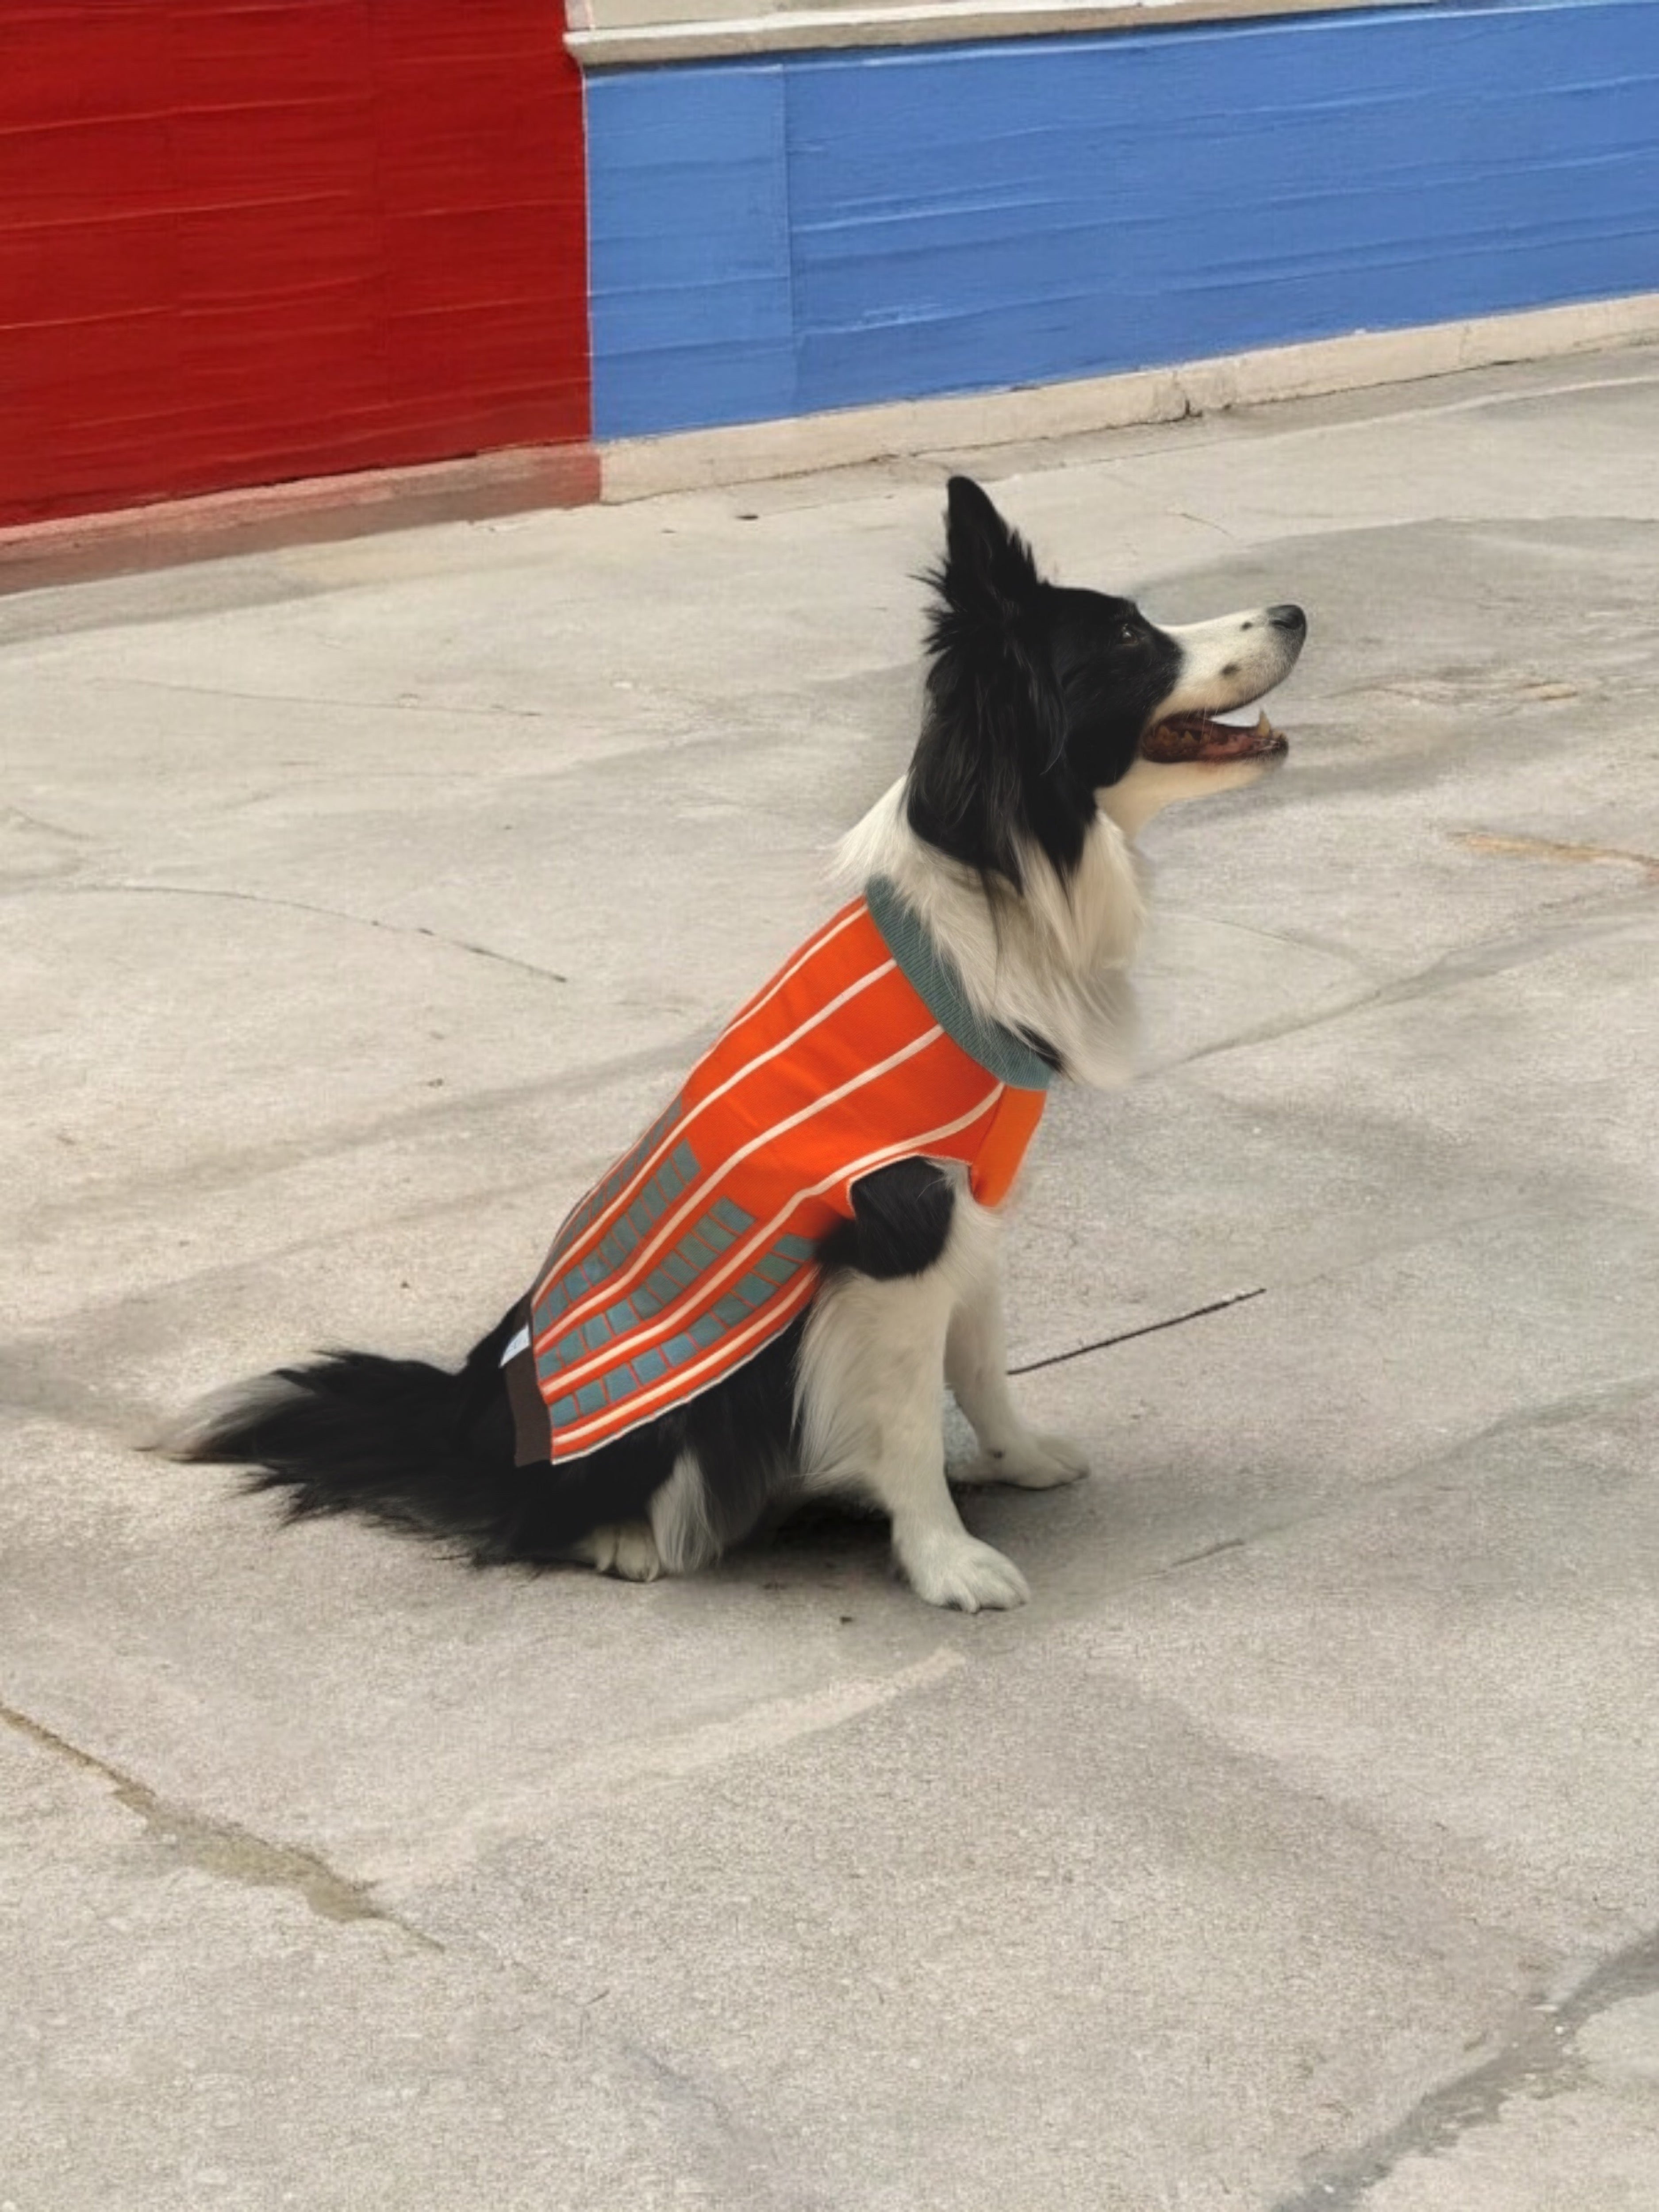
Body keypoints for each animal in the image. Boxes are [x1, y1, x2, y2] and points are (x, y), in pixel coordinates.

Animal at [173, 480, 1310, 1610]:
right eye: (1127, 636)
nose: (1296, 612)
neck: (998, 877)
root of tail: (464, 1425)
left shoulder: (965, 1211)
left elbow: (982, 1362)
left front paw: (1019, 1458)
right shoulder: (895, 1231)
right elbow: (906, 1419)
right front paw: (945, 1560)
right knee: (540, 1519)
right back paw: (623, 1539)